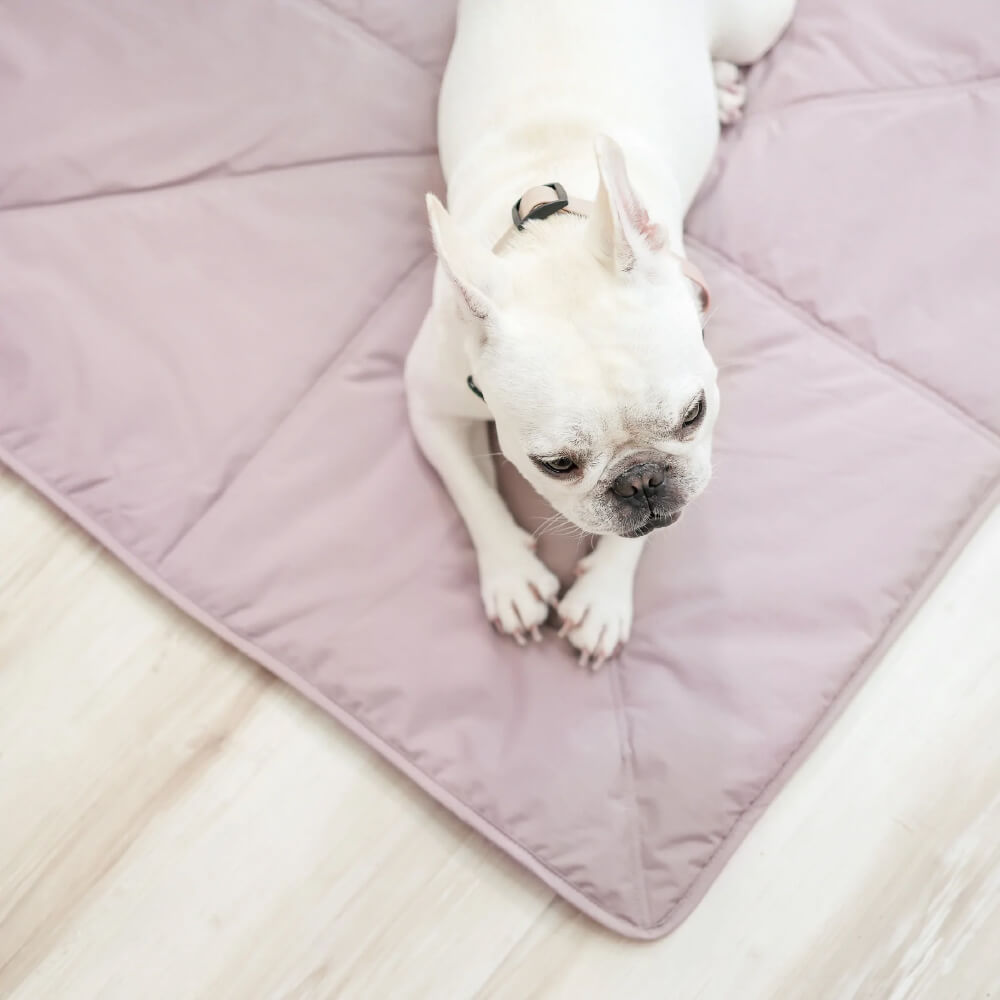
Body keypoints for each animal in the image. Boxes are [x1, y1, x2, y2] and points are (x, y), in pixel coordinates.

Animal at [406, 1, 796, 672]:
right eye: (556, 465)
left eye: (694, 414)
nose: (640, 480)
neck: (545, 230)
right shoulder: (429, 403)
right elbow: (470, 489)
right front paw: (510, 576)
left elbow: (648, 530)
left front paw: (605, 596)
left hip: (757, 27)